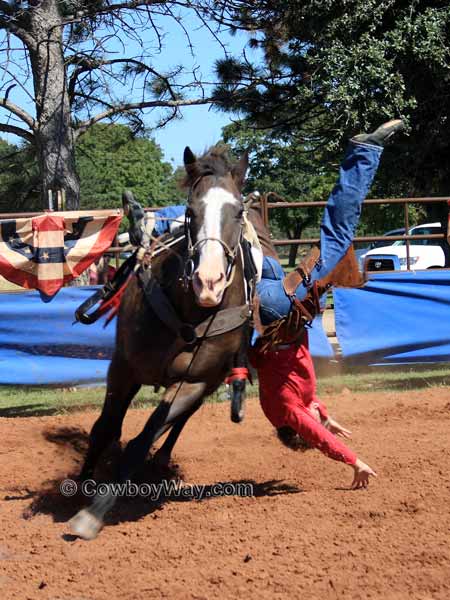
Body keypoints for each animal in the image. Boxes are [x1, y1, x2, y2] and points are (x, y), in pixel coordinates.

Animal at [70, 145, 253, 540]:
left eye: (238, 211)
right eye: (190, 211)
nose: (209, 281)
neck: (190, 313)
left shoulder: (194, 381)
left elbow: (144, 439)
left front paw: (93, 513)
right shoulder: (122, 367)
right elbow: (104, 428)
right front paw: (79, 487)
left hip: (209, 381)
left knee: (177, 422)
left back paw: (161, 460)